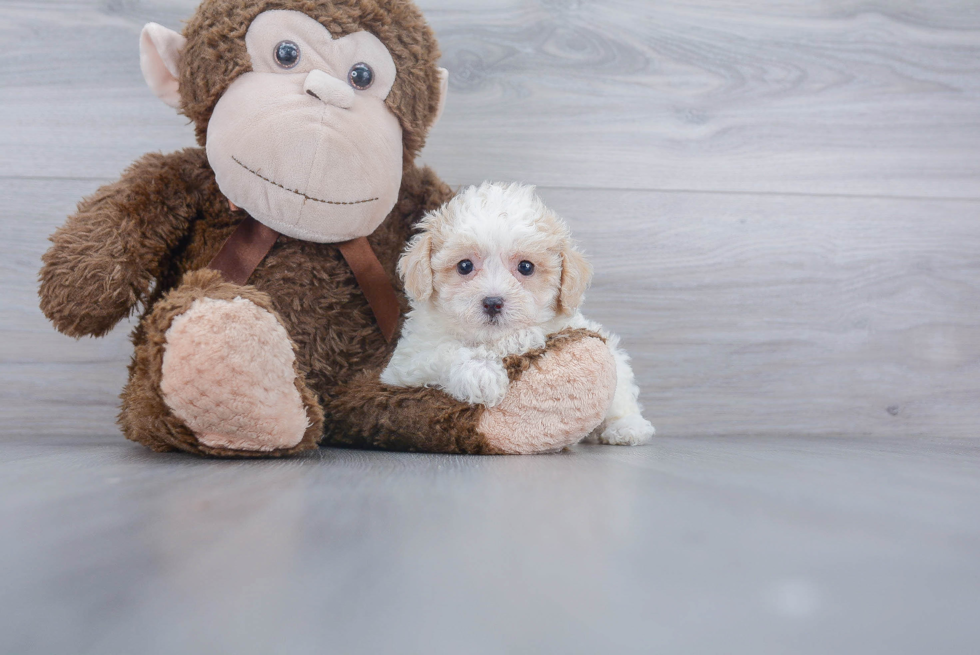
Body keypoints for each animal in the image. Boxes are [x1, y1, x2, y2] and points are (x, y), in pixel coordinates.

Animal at [382, 182, 660, 446]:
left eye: (526, 267)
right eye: (464, 266)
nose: (493, 302)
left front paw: (518, 340)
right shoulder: (404, 365)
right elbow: (443, 351)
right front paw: (480, 374)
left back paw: (627, 427)